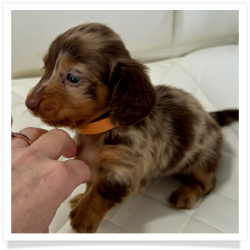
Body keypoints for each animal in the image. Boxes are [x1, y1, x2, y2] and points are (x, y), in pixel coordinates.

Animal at [25, 23, 238, 232]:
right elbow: (90, 183)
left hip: (205, 159)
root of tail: (210, 116)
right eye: (45, 68)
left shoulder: (127, 170)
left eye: (73, 78)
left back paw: (187, 193)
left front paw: (84, 215)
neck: (100, 129)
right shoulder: (91, 163)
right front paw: (80, 198)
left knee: (207, 183)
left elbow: (101, 188)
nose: (29, 103)